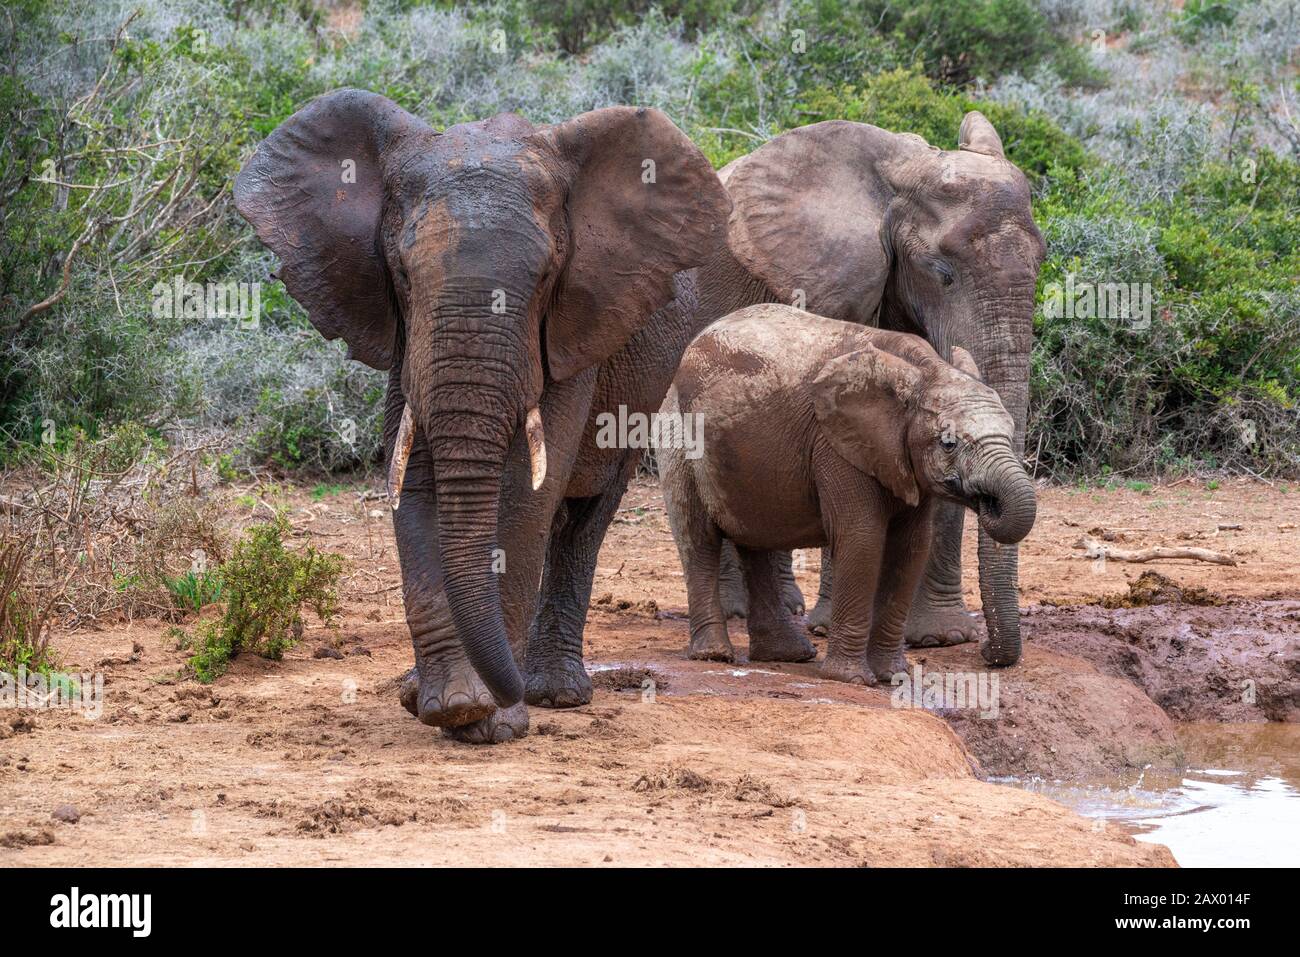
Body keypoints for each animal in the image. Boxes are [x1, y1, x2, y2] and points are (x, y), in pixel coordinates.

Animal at [236, 89, 733, 743]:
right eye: (401, 272)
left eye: (547, 274)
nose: (501, 694)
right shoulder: (405, 338)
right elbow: (416, 478)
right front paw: (449, 706)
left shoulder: (570, 332)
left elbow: (524, 493)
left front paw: (496, 720)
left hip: (647, 384)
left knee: (585, 515)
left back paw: (556, 694)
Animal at [660, 302, 1034, 686]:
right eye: (948, 443)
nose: (986, 652)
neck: (924, 370)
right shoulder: (837, 445)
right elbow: (862, 539)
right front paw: (852, 679)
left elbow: (911, 547)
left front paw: (893, 676)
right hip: (678, 433)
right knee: (698, 538)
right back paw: (714, 655)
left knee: (756, 541)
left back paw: (788, 655)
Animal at [691, 111, 1045, 665]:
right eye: (942, 273)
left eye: (1042, 261)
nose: (990, 654)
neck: (902, 171)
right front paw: (831, 625)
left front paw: (942, 638)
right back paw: (742, 614)